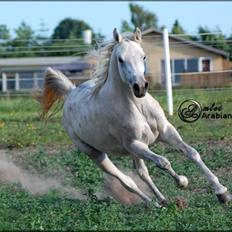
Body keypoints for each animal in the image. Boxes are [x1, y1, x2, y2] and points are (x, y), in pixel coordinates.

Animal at [35, 28, 231, 206]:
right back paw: (152, 203)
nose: (140, 87)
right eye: (121, 59)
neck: (138, 107)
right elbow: (163, 162)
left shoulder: (166, 131)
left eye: (143, 56)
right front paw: (182, 181)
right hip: (96, 154)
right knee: (127, 181)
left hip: (133, 152)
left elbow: (192, 153)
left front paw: (221, 192)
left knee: (142, 173)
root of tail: (70, 93)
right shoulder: (134, 144)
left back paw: (162, 200)